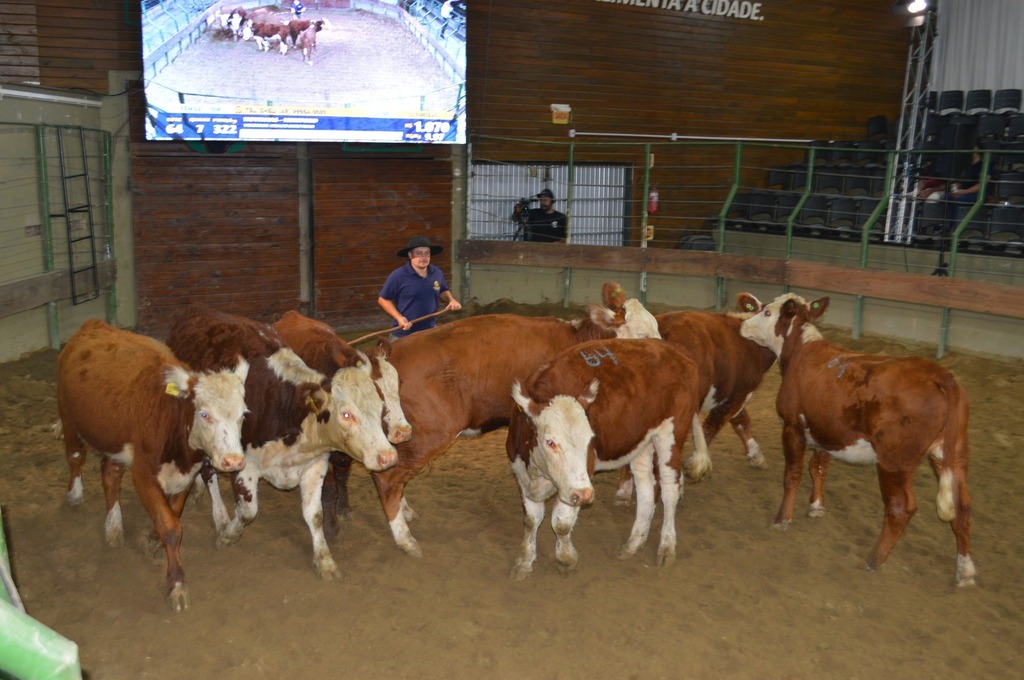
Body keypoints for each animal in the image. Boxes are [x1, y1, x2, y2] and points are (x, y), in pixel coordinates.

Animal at [56, 319, 249, 610]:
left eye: (243, 415)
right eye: (205, 414)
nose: (233, 460)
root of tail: (94, 324)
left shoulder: (186, 474)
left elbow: (172, 512)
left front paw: (151, 537)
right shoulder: (143, 474)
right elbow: (171, 527)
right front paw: (176, 584)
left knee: (110, 473)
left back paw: (114, 525)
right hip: (67, 414)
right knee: (76, 455)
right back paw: (75, 494)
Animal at [167, 307, 395, 577]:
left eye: (379, 405)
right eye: (346, 414)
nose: (388, 456)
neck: (285, 409)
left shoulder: (315, 465)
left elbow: (315, 514)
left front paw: (325, 560)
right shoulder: (244, 464)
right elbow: (247, 511)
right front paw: (228, 536)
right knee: (209, 471)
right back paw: (220, 516)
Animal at [327, 280, 663, 557]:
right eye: (642, 335)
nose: (663, 355)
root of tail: (387, 354)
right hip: (426, 432)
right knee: (388, 479)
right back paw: (405, 540)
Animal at [505, 340, 712, 577]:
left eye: (590, 439)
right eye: (550, 441)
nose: (585, 495)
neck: (538, 472)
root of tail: (678, 353)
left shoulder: (581, 477)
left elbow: (561, 522)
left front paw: (566, 558)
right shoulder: (522, 474)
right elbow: (531, 520)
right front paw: (525, 562)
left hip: (671, 433)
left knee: (669, 489)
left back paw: (667, 547)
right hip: (642, 442)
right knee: (646, 488)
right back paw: (633, 543)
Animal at [737, 292, 974, 585]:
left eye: (767, 312)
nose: (742, 325)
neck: (800, 353)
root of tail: (940, 375)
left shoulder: (792, 427)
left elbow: (792, 475)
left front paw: (782, 519)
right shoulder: (826, 429)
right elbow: (818, 467)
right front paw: (816, 506)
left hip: (895, 461)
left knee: (901, 507)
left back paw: (874, 559)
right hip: (950, 454)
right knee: (962, 505)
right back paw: (965, 569)